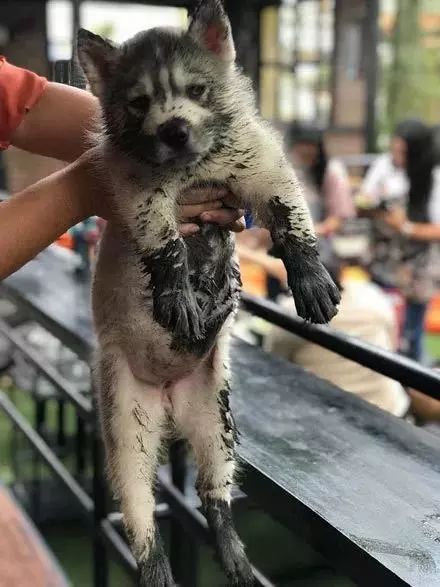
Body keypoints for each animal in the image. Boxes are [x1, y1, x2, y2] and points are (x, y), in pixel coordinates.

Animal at [78, 2, 340, 584]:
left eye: (197, 90)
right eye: (138, 103)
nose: (174, 130)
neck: (191, 168)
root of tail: (168, 399)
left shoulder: (262, 165)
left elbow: (290, 218)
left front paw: (311, 279)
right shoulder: (139, 194)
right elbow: (166, 244)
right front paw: (177, 296)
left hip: (215, 420)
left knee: (214, 494)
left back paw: (234, 553)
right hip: (126, 431)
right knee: (142, 520)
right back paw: (156, 567)